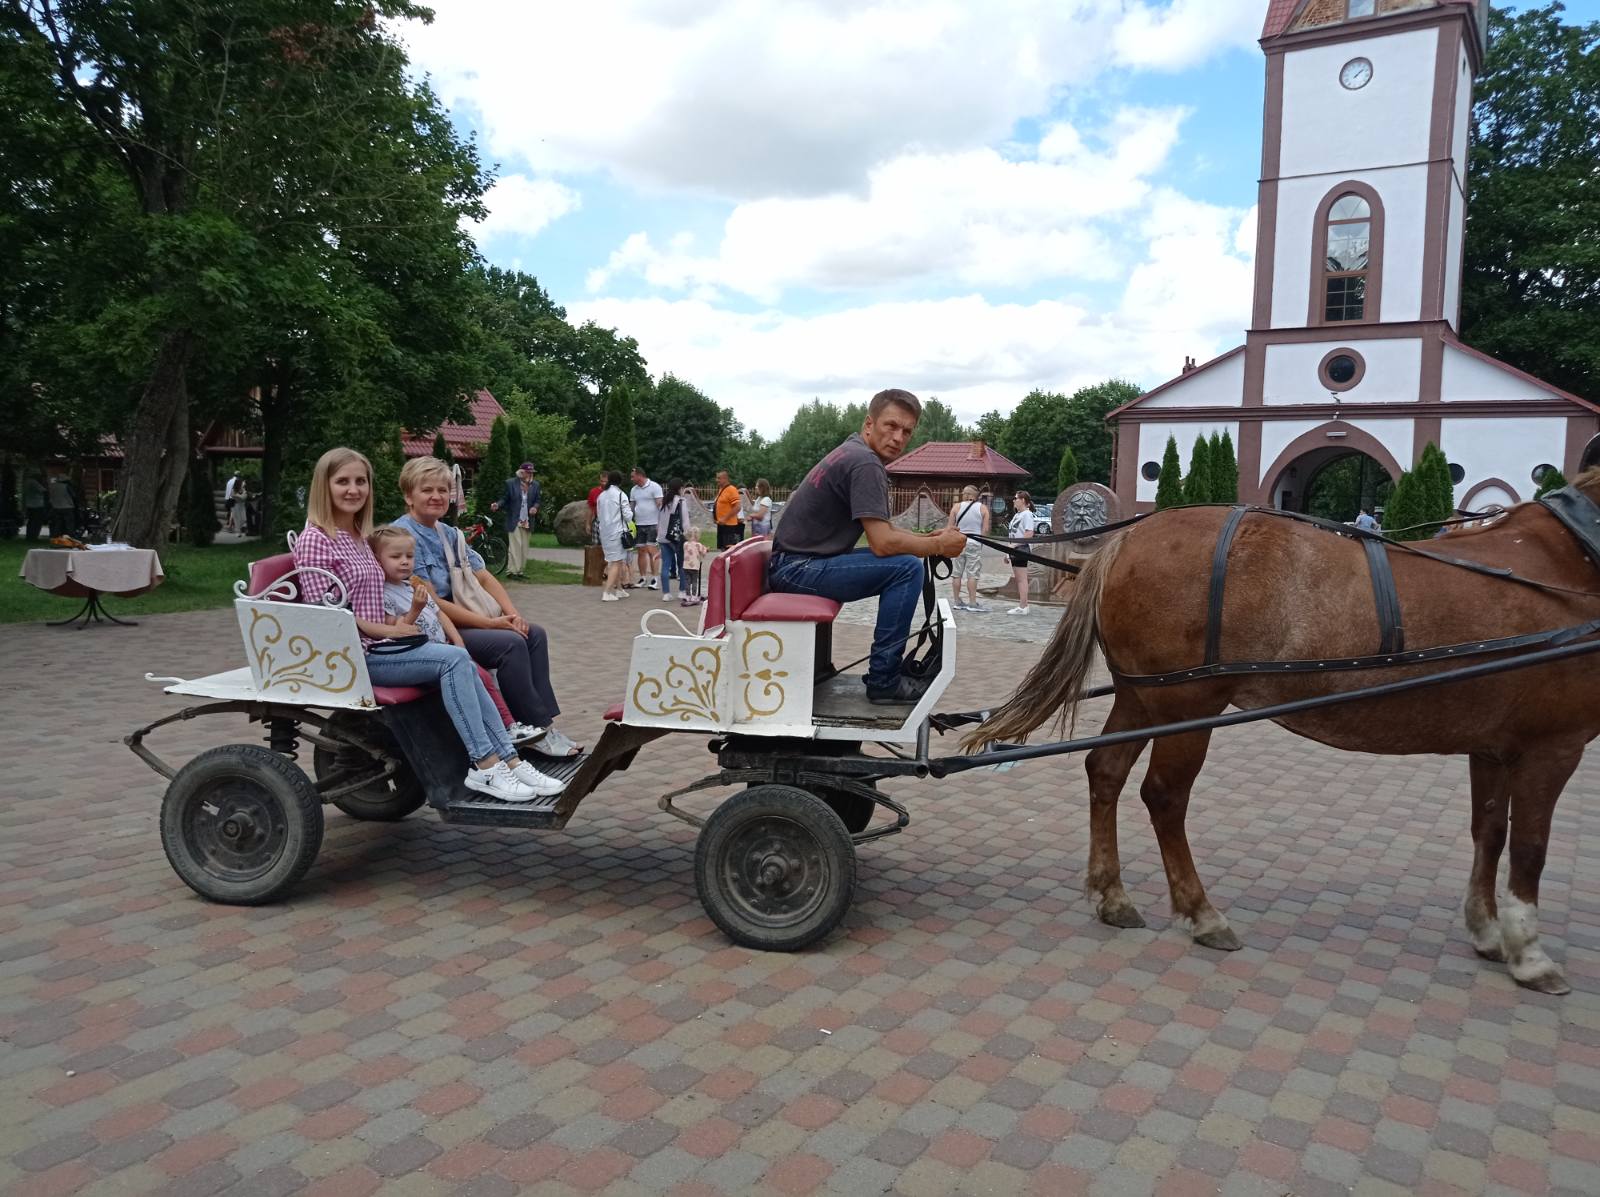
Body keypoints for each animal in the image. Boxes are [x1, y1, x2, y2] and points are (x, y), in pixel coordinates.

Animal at [960, 464, 1600, 992]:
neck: (1570, 564)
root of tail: (1123, 540)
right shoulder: (1553, 747)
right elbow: (1531, 848)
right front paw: (1529, 952)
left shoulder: (1494, 746)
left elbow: (1489, 832)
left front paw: (1488, 930)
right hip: (1186, 703)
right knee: (1163, 796)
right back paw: (1201, 913)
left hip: (1142, 697)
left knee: (1106, 771)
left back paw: (1113, 896)